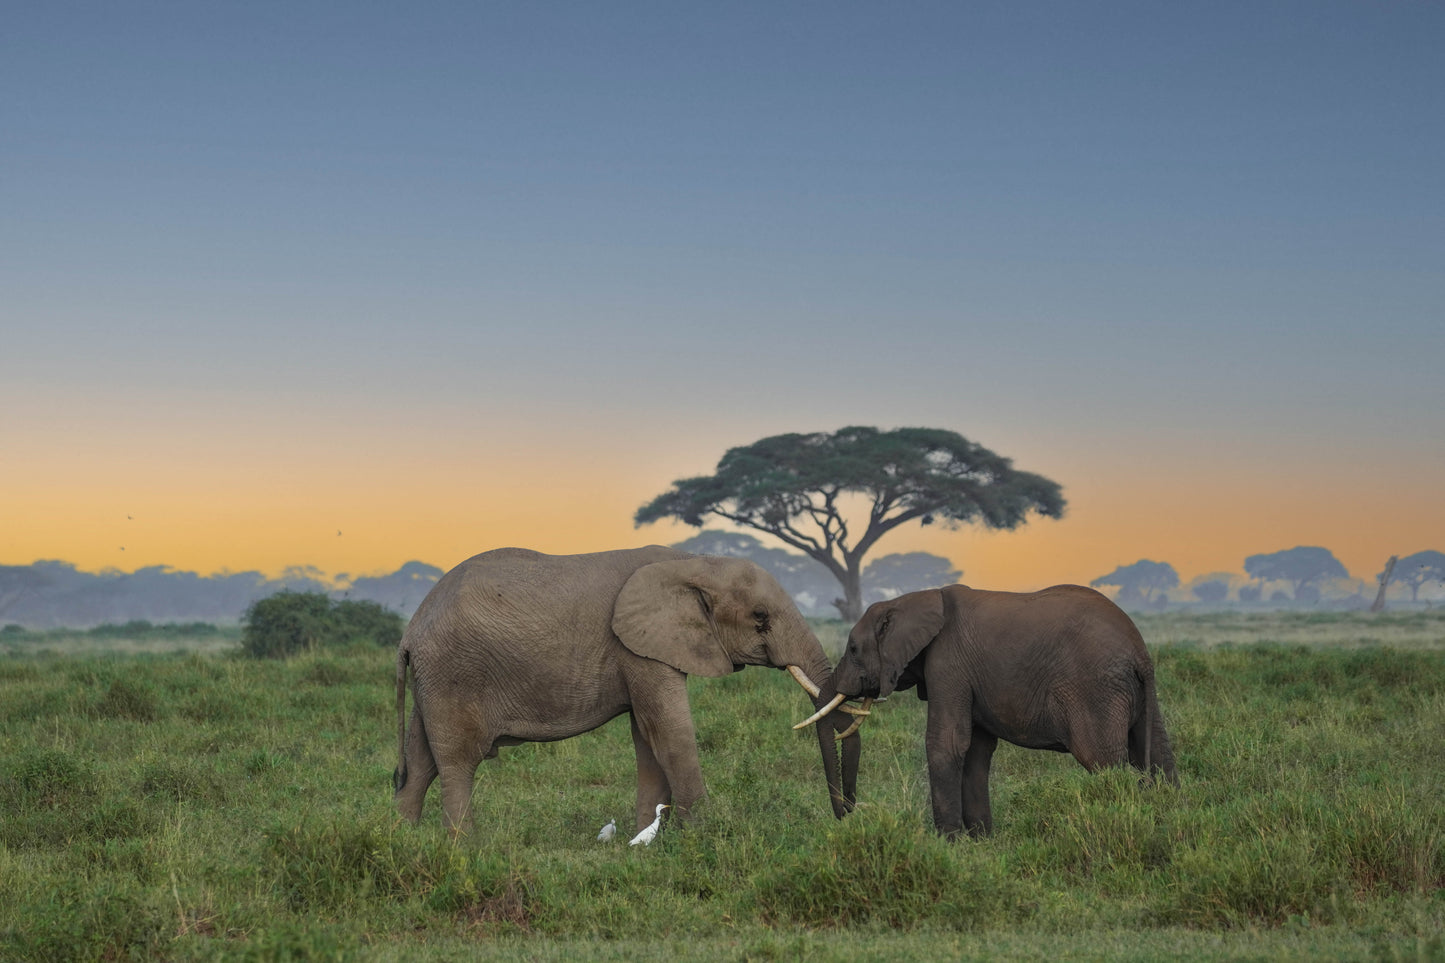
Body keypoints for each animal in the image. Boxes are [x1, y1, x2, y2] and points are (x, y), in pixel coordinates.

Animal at [390, 546, 861, 832]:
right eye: (760, 617)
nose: (845, 817)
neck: (691, 562)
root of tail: (411, 630)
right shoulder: (639, 647)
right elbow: (669, 730)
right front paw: (703, 834)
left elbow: (647, 737)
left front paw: (646, 839)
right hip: (454, 673)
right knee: (457, 762)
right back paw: (465, 849)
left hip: (433, 680)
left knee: (420, 760)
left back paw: (404, 842)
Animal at [832, 581, 1179, 838]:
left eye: (853, 649)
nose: (848, 815)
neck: (915, 598)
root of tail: (1139, 653)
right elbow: (976, 750)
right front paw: (981, 841)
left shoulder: (948, 665)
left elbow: (947, 743)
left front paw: (948, 843)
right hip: (1137, 695)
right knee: (1157, 754)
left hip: (1095, 691)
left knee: (1103, 761)